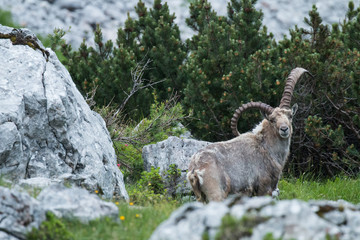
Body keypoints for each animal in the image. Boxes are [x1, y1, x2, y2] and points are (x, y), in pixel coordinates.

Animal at [187, 67, 310, 202]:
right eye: (272, 120)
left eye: (290, 116)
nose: (284, 129)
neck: (266, 147)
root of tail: (195, 169)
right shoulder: (264, 188)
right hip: (216, 194)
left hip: (201, 198)